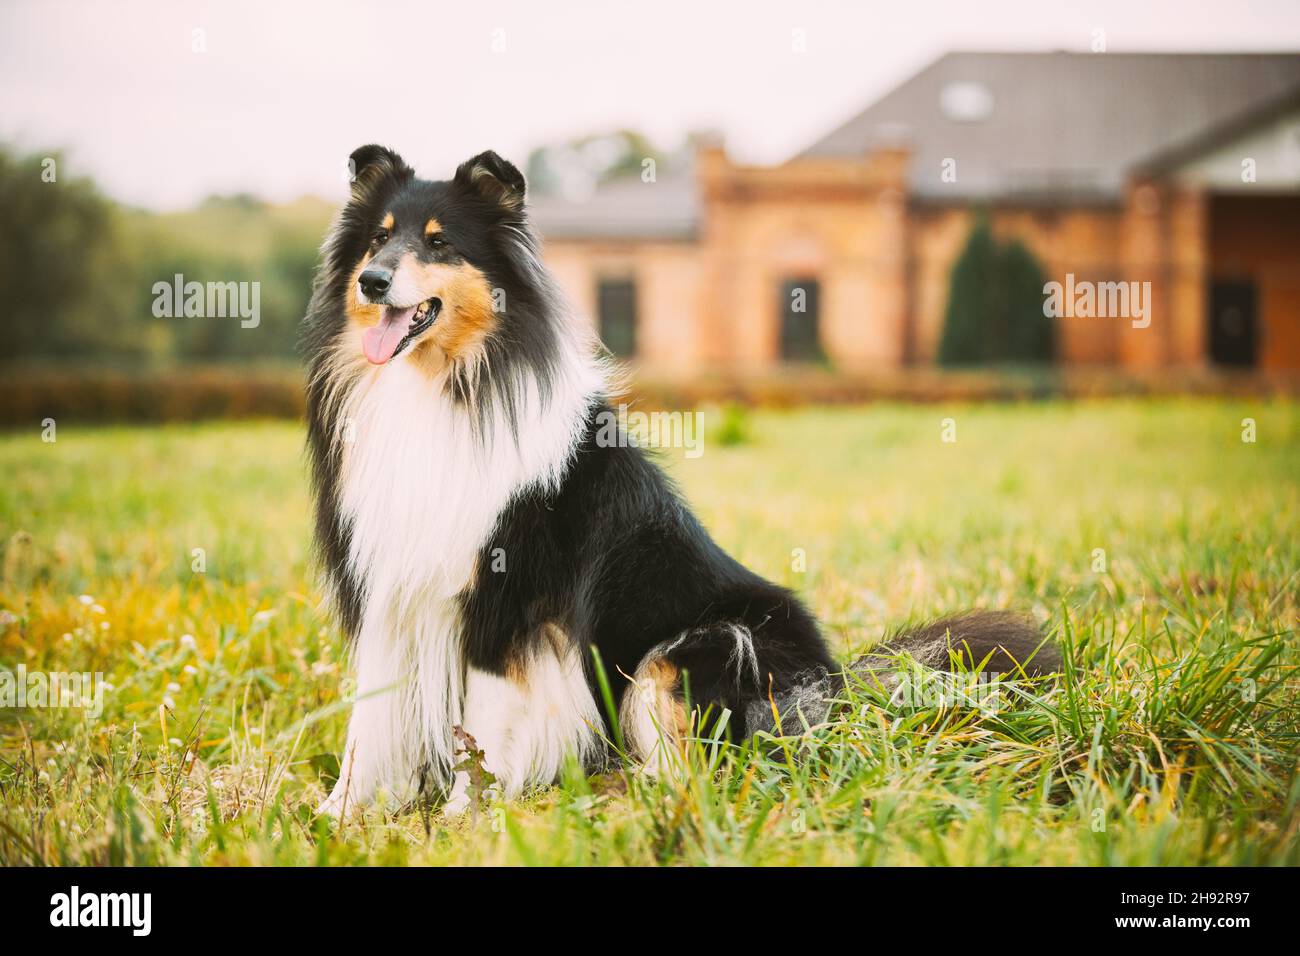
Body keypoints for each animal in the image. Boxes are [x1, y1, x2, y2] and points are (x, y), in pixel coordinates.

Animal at [304, 145, 1055, 816]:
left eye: (438, 244)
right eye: (379, 239)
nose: (373, 281)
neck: (444, 385)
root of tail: (842, 683)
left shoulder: (507, 601)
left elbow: (482, 729)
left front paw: (466, 816)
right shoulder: (390, 594)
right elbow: (369, 726)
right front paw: (339, 813)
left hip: (697, 645)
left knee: (701, 771)